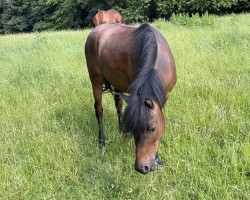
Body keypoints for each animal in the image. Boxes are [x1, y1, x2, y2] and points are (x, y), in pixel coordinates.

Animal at [85, 23, 177, 173]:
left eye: (152, 128)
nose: (142, 167)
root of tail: (96, 30)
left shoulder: (165, 95)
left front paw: (157, 161)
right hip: (96, 80)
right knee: (99, 110)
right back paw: (102, 142)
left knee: (118, 103)